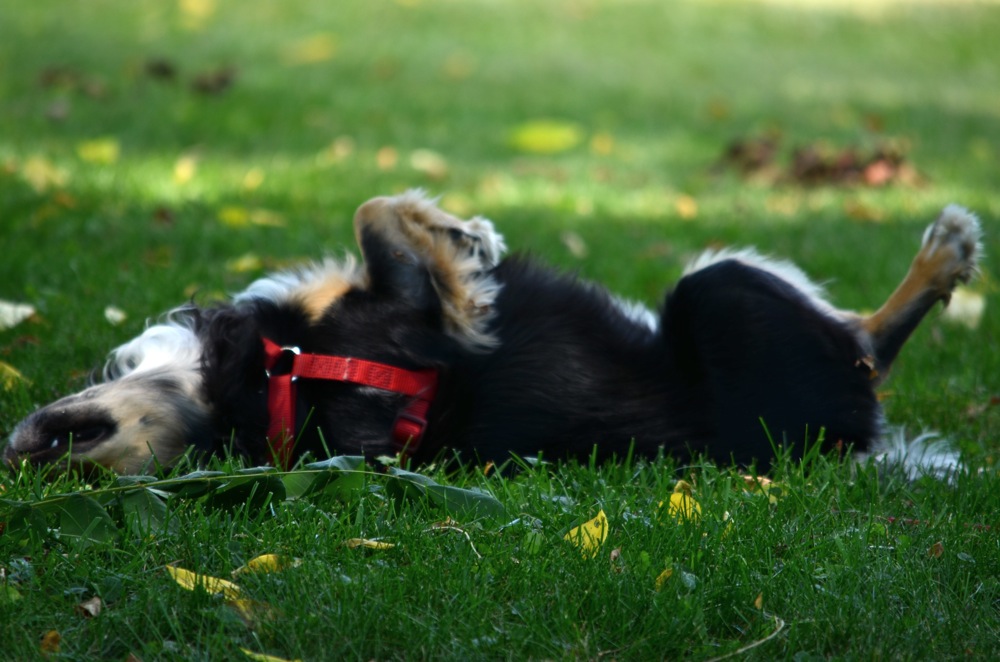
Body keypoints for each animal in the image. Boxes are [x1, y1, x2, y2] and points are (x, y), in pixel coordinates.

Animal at [1, 192, 984, 478]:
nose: (27, 444)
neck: (266, 376)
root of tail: (851, 439)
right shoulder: (405, 320)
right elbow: (384, 220)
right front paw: (466, 241)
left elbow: (372, 217)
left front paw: (460, 237)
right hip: (719, 293)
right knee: (870, 343)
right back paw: (945, 254)